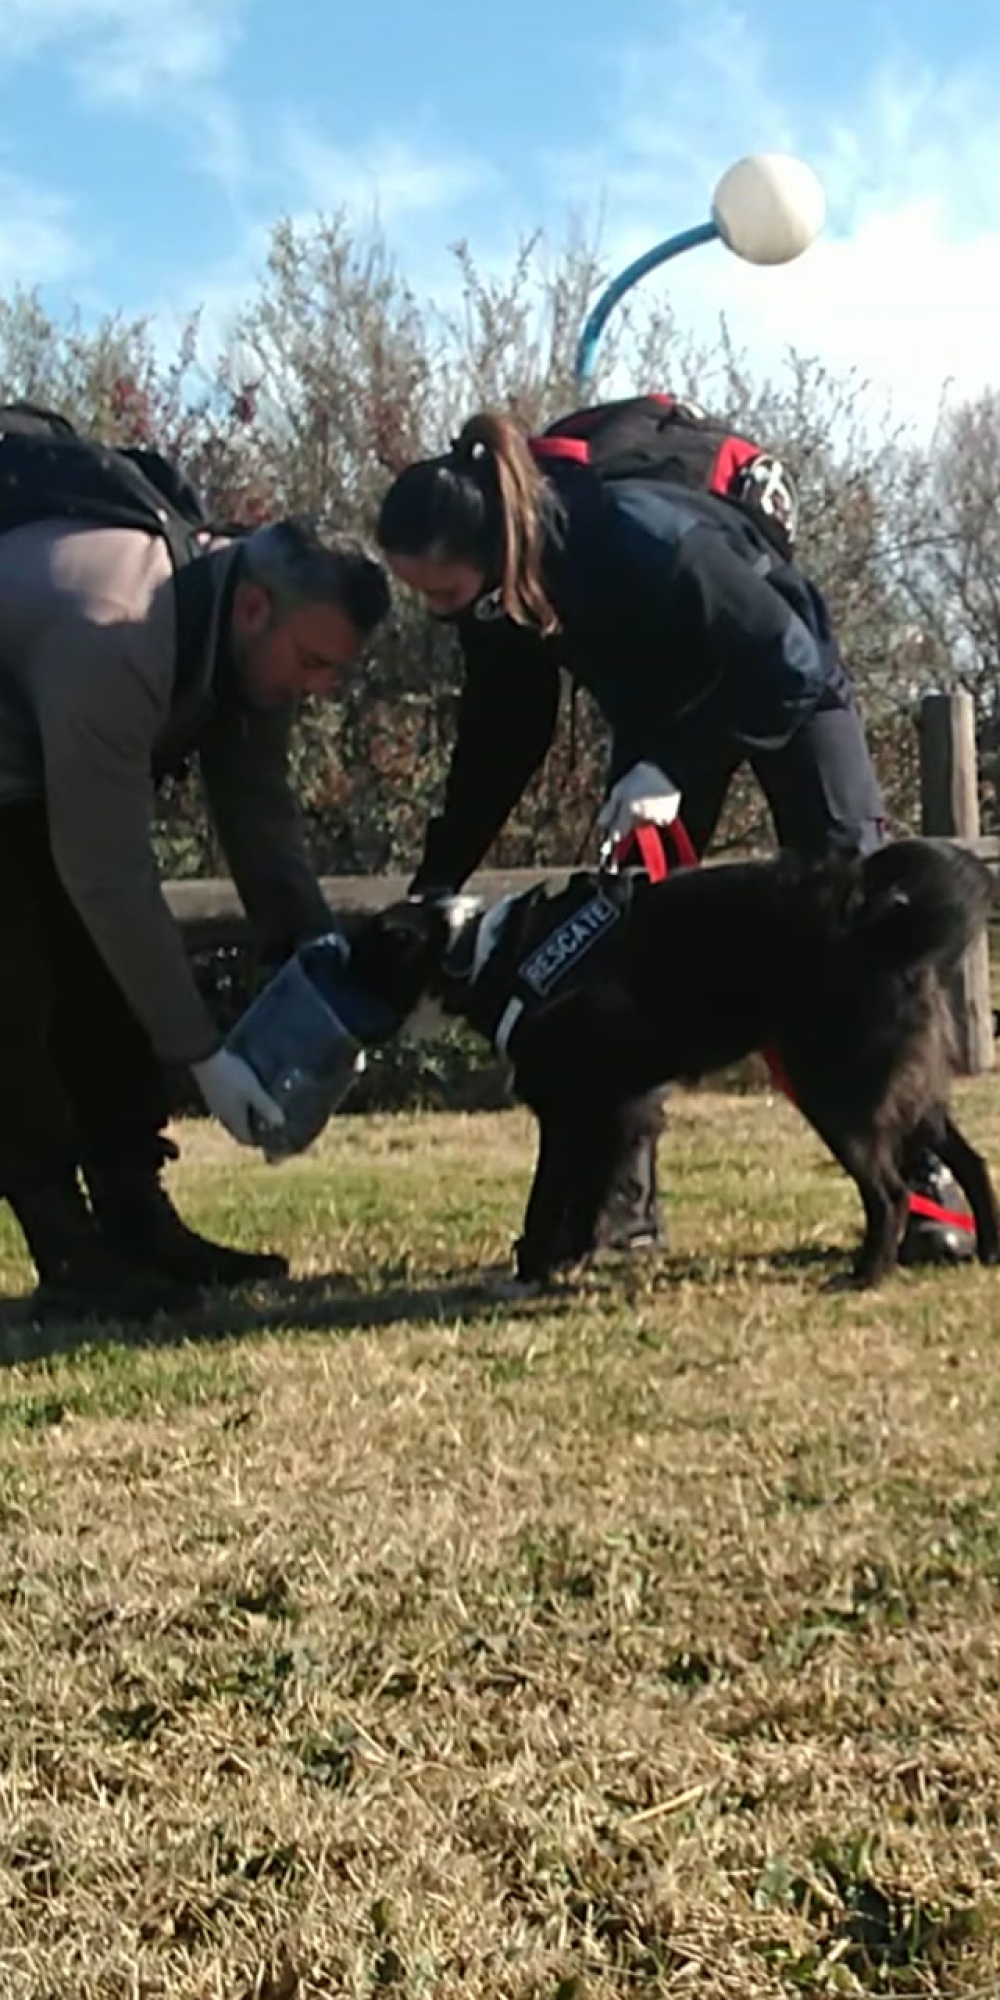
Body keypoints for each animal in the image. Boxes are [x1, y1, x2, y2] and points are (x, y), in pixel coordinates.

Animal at [346, 836, 1000, 1288]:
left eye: (361, 951)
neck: (480, 951)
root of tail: (881, 922)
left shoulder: (577, 1112)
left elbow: (552, 1196)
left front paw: (537, 1265)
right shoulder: (615, 1110)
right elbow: (586, 1195)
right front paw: (569, 1257)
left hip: (836, 1093)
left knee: (889, 1191)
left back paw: (867, 1274)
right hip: (911, 1092)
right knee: (972, 1162)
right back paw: (988, 1250)